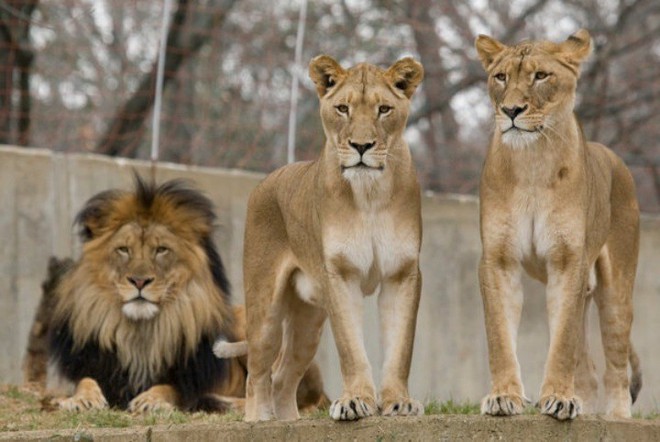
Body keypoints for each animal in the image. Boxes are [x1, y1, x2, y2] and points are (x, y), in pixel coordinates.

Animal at [240, 55, 426, 422]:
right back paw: (259, 420)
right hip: (264, 310)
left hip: (308, 323)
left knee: (283, 376)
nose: (361, 146)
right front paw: (355, 401)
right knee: (257, 374)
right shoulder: (339, 273)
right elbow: (351, 348)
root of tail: (264, 181)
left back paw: (289, 421)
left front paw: (398, 402)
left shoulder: (403, 273)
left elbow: (401, 348)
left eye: (384, 109)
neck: (369, 193)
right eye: (342, 108)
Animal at [474, 29, 640, 420]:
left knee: (615, 365)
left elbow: (561, 342)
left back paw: (616, 417)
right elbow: (499, 336)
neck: (533, 160)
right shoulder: (498, 260)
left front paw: (560, 399)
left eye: (540, 76)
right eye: (500, 77)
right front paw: (504, 397)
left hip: (616, 290)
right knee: (589, 371)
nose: (511, 111)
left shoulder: (568, 262)